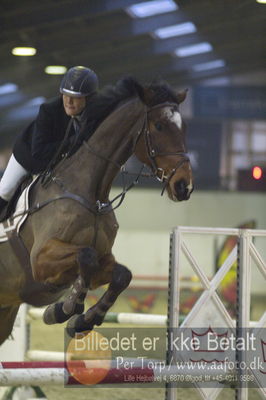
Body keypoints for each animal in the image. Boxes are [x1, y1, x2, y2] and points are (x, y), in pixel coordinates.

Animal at [0, 77, 193, 344]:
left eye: (183, 128)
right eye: (159, 126)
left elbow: (122, 274)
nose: (184, 186)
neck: (92, 194)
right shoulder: (40, 259)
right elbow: (86, 256)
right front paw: (64, 308)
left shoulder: (104, 260)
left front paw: (83, 319)